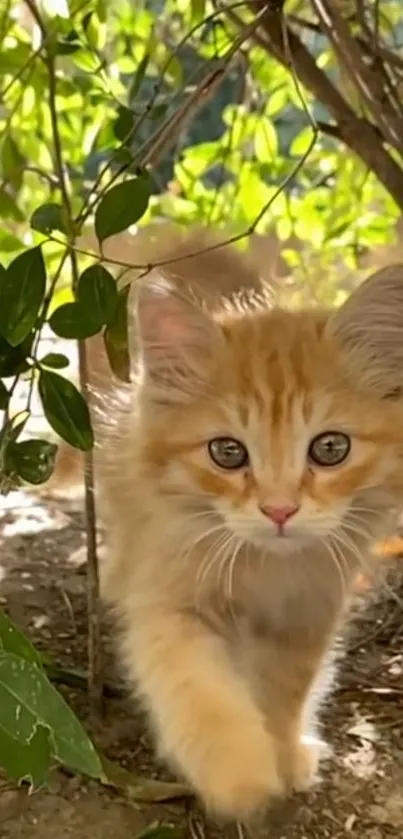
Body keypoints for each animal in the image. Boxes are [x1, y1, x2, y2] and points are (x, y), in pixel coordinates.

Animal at [93, 233, 403, 824]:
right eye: (228, 452)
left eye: (331, 448)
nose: (279, 510)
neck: (265, 573)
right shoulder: (169, 599)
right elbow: (201, 691)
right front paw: (241, 776)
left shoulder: (309, 612)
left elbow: (285, 692)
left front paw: (284, 753)